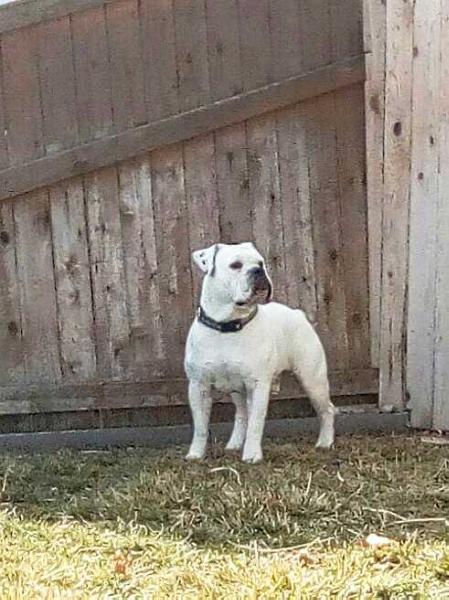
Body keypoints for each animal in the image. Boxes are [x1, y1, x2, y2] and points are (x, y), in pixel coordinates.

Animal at [184, 241, 334, 462]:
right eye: (235, 265)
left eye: (260, 263)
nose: (258, 270)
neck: (228, 326)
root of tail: (297, 313)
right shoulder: (198, 386)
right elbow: (201, 427)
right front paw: (195, 453)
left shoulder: (257, 385)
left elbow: (256, 424)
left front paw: (252, 454)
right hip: (238, 389)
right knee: (241, 414)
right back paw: (235, 443)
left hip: (313, 380)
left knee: (327, 410)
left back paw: (325, 442)